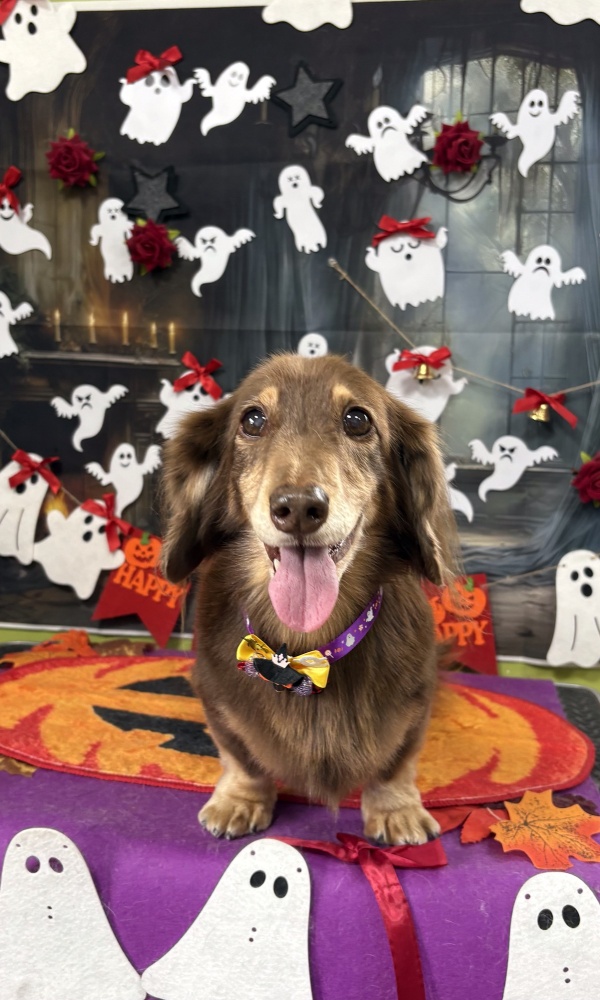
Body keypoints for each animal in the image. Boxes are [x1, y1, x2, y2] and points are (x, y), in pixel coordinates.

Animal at [161, 353, 458, 844]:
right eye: (252, 420)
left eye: (357, 420)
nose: (299, 507)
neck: (302, 644)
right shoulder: (214, 693)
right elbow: (241, 756)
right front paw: (240, 799)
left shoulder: (417, 701)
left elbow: (396, 764)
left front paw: (396, 809)